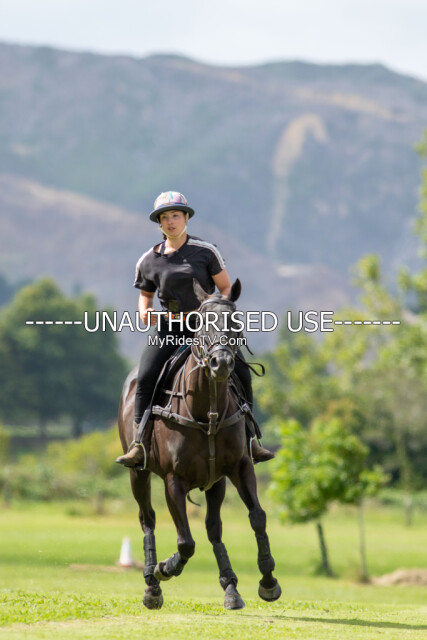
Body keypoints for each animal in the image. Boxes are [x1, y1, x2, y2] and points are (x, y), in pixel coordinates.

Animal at [117, 278, 281, 610]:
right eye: (203, 321)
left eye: (236, 320)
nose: (222, 363)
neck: (207, 411)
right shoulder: (174, 479)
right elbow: (186, 542)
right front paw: (164, 568)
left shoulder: (240, 467)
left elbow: (257, 517)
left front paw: (268, 582)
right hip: (138, 474)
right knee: (147, 519)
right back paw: (152, 585)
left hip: (215, 482)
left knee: (213, 528)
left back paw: (230, 587)